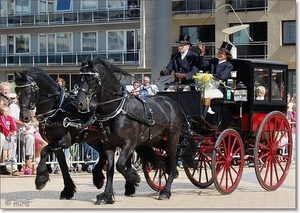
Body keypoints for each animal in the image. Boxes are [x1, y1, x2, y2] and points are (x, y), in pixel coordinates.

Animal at [13, 68, 137, 201]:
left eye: (28, 92)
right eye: (17, 91)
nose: (24, 117)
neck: (57, 108)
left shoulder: (64, 142)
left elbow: (44, 151)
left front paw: (41, 179)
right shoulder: (55, 144)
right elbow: (63, 166)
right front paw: (68, 190)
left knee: (126, 156)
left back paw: (129, 186)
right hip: (94, 139)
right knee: (103, 154)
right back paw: (98, 178)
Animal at [76, 57, 196, 205]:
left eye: (91, 79)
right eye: (80, 78)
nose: (79, 103)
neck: (118, 109)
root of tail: (173, 104)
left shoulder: (130, 142)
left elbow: (120, 165)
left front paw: (134, 177)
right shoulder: (109, 145)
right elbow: (110, 170)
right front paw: (106, 195)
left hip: (173, 136)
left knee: (173, 160)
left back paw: (165, 191)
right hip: (155, 139)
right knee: (165, 156)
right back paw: (164, 167)